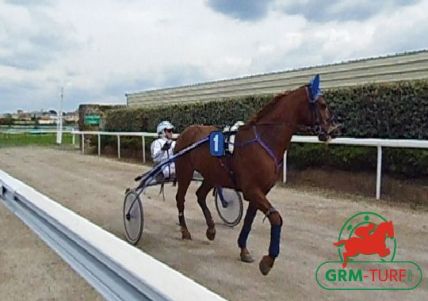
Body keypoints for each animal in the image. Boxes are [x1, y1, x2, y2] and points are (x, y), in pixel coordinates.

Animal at [174, 75, 338, 274]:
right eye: (322, 104)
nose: (334, 130)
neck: (263, 141)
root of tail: (186, 132)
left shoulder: (260, 191)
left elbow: (249, 220)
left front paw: (244, 250)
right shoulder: (252, 190)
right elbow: (276, 218)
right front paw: (268, 260)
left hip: (212, 175)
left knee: (200, 195)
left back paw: (211, 230)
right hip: (185, 171)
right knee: (180, 198)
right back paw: (185, 231)